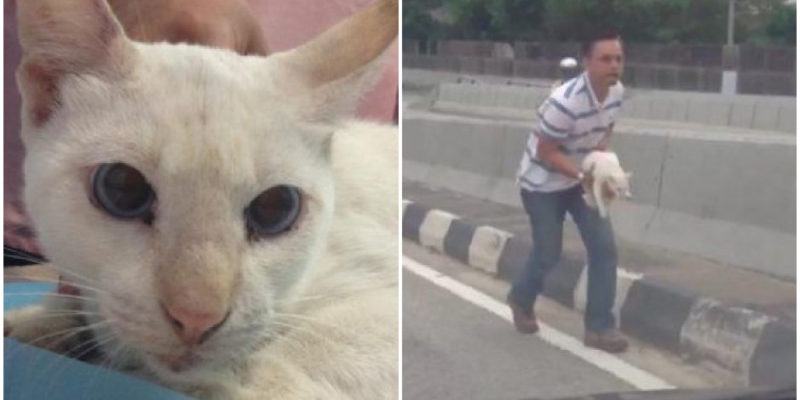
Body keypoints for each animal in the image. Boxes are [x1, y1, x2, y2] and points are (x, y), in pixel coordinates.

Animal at [7, 0, 400, 400]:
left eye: (276, 208)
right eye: (122, 188)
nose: (197, 317)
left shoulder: (379, 306)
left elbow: (276, 366)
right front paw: (39, 323)